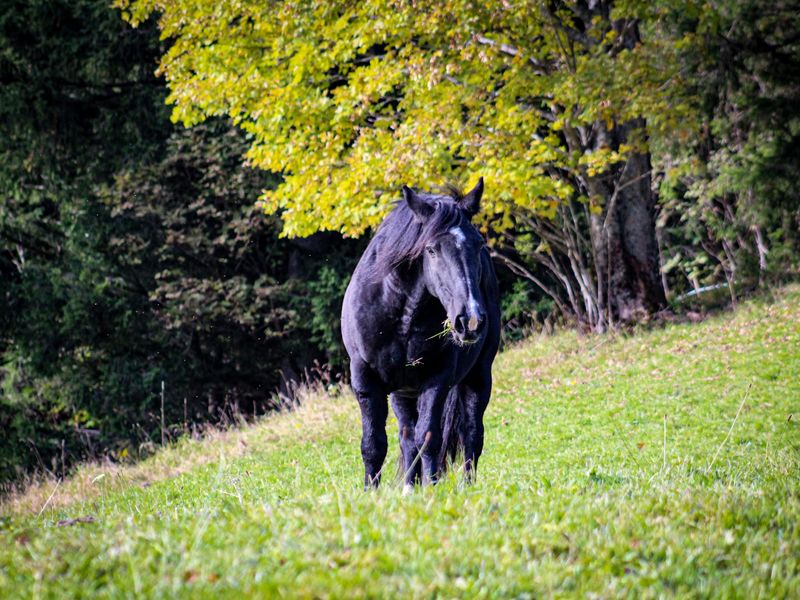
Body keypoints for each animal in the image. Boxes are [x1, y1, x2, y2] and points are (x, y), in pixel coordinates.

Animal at [340, 177, 500, 488]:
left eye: (478, 245)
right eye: (431, 249)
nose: (471, 320)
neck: (402, 315)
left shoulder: (436, 381)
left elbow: (429, 438)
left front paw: (432, 488)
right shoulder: (365, 380)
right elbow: (374, 444)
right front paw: (370, 491)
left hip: (478, 376)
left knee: (472, 435)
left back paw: (467, 487)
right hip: (402, 393)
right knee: (406, 438)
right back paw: (408, 487)